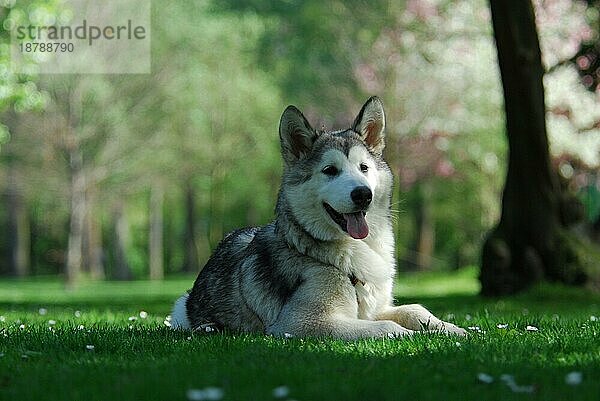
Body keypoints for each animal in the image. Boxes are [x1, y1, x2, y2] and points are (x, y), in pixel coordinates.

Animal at [171, 97, 466, 338]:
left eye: (364, 168)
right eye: (330, 170)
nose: (363, 194)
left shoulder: (374, 309)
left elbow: (414, 309)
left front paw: (455, 329)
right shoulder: (298, 323)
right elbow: (389, 327)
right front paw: (416, 335)